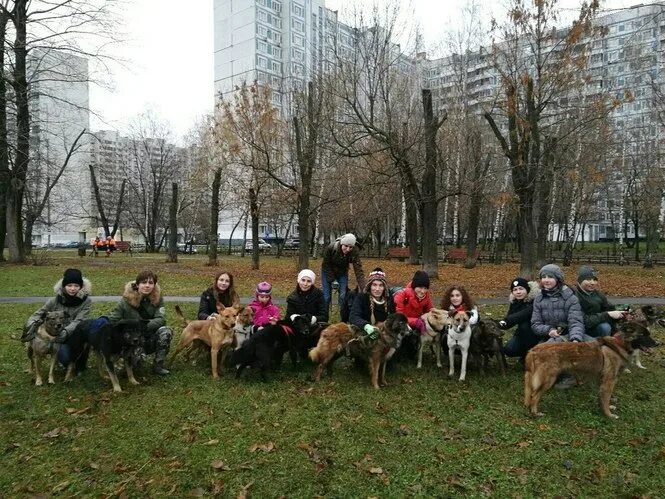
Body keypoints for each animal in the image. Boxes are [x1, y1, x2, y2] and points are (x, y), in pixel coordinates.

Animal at [524, 320, 660, 418]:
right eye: (643, 335)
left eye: (649, 334)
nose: (658, 344)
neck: (619, 345)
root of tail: (534, 350)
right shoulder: (609, 381)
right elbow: (605, 398)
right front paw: (609, 415)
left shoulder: (602, 380)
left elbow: (604, 397)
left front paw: (609, 406)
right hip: (548, 380)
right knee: (534, 396)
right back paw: (535, 413)